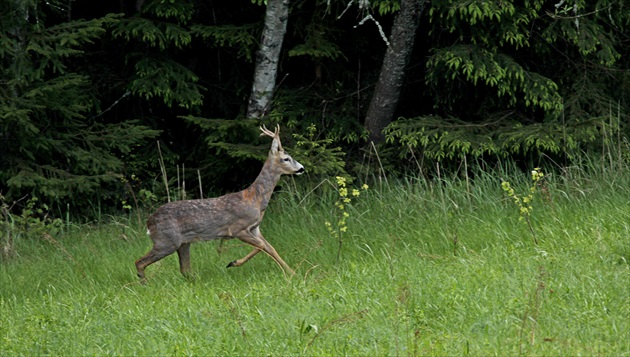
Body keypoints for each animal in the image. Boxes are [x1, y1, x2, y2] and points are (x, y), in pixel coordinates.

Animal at [136, 124, 306, 280]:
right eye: (286, 158)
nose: (302, 168)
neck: (255, 200)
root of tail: (149, 223)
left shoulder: (255, 228)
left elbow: (271, 249)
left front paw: (293, 273)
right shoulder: (237, 228)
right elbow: (261, 245)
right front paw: (233, 262)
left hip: (183, 243)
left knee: (185, 270)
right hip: (166, 241)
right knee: (140, 262)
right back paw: (145, 284)